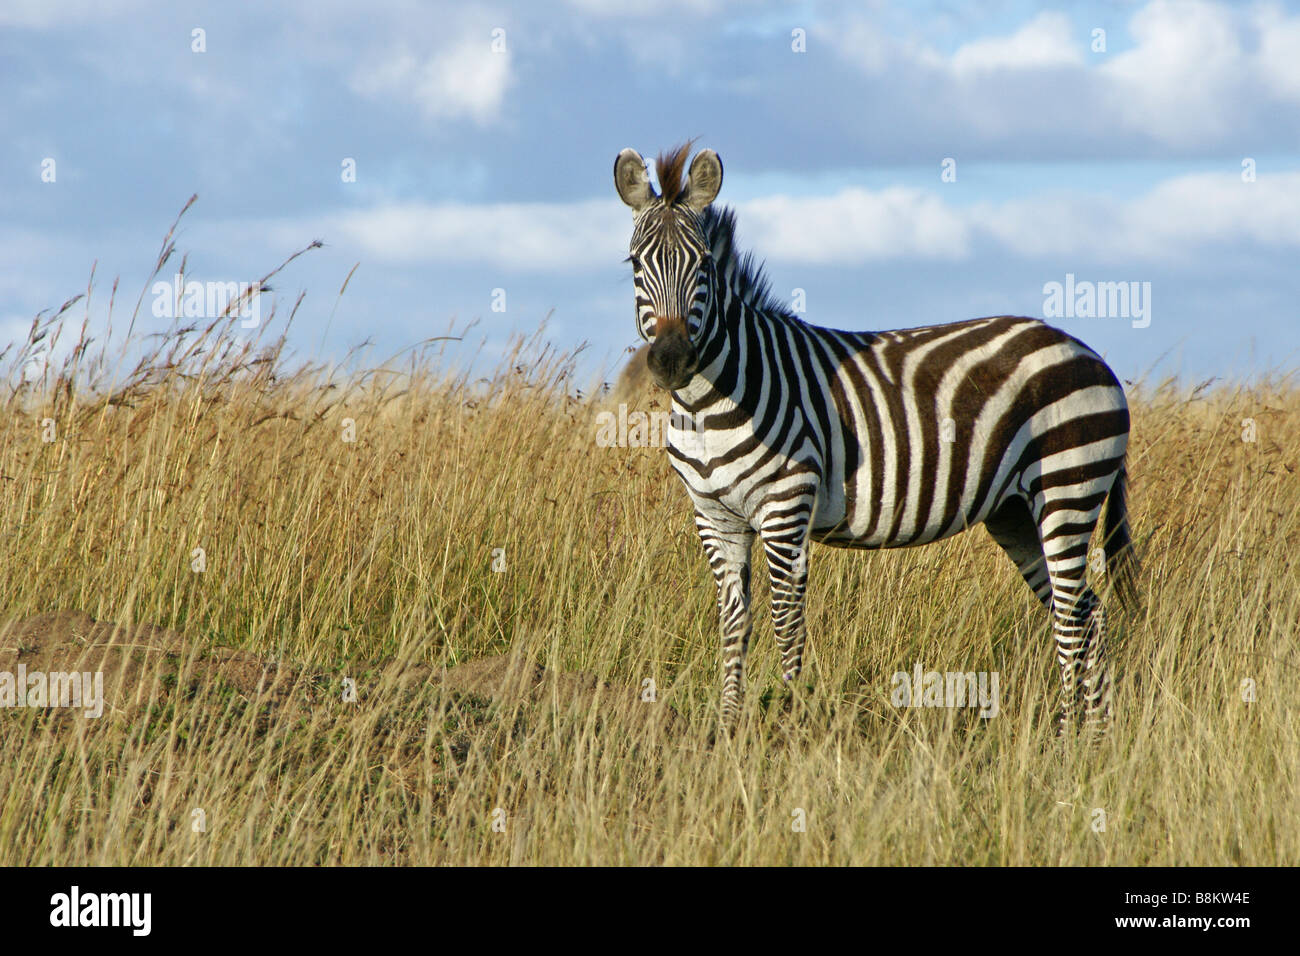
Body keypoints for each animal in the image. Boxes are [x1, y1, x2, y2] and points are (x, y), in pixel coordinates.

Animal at [613, 145, 1133, 738]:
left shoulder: (785, 507)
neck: (709, 404)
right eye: (635, 265)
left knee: (1072, 615)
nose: (671, 361)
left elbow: (785, 623)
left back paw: (1068, 738)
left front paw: (787, 725)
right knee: (1088, 613)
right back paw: (1095, 736)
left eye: (703, 265)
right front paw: (728, 729)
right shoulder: (713, 515)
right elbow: (733, 623)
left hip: (1067, 487)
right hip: (1016, 511)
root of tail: (1087, 351)